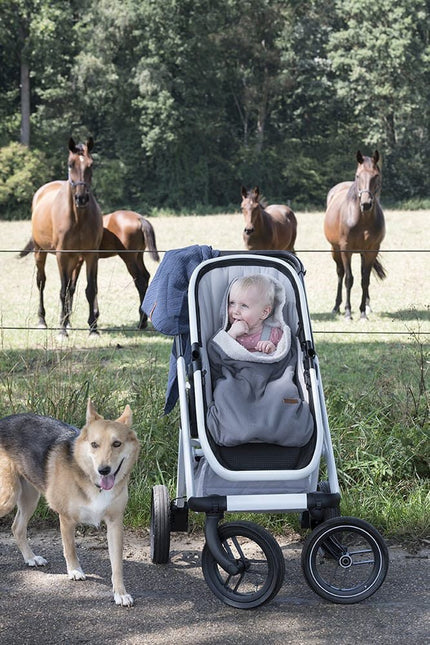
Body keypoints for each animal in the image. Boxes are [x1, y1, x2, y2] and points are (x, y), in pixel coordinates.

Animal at [0, 398, 140, 604]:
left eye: (117, 444)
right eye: (94, 444)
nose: (104, 470)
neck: (91, 480)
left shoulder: (115, 524)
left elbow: (117, 565)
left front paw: (120, 593)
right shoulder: (66, 519)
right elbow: (70, 548)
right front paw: (74, 571)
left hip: (29, 498)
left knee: (17, 528)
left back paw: (31, 558)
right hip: (8, 497)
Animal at [20, 137, 103, 338]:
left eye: (91, 165)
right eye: (70, 164)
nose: (81, 198)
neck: (78, 218)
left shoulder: (91, 255)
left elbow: (90, 289)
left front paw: (93, 329)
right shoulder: (62, 256)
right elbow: (62, 291)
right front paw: (61, 331)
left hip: (76, 260)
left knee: (71, 287)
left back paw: (68, 321)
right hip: (40, 252)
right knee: (41, 282)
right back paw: (43, 321)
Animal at [322, 149, 386, 320]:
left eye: (376, 175)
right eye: (358, 175)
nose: (366, 204)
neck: (362, 219)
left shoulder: (371, 250)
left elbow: (365, 279)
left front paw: (363, 312)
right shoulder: (346, 249)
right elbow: (349, 279)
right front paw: (348, 312)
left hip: (363, 253)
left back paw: (368, 306)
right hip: (335, 249)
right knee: (340, 273)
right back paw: (336, 307)